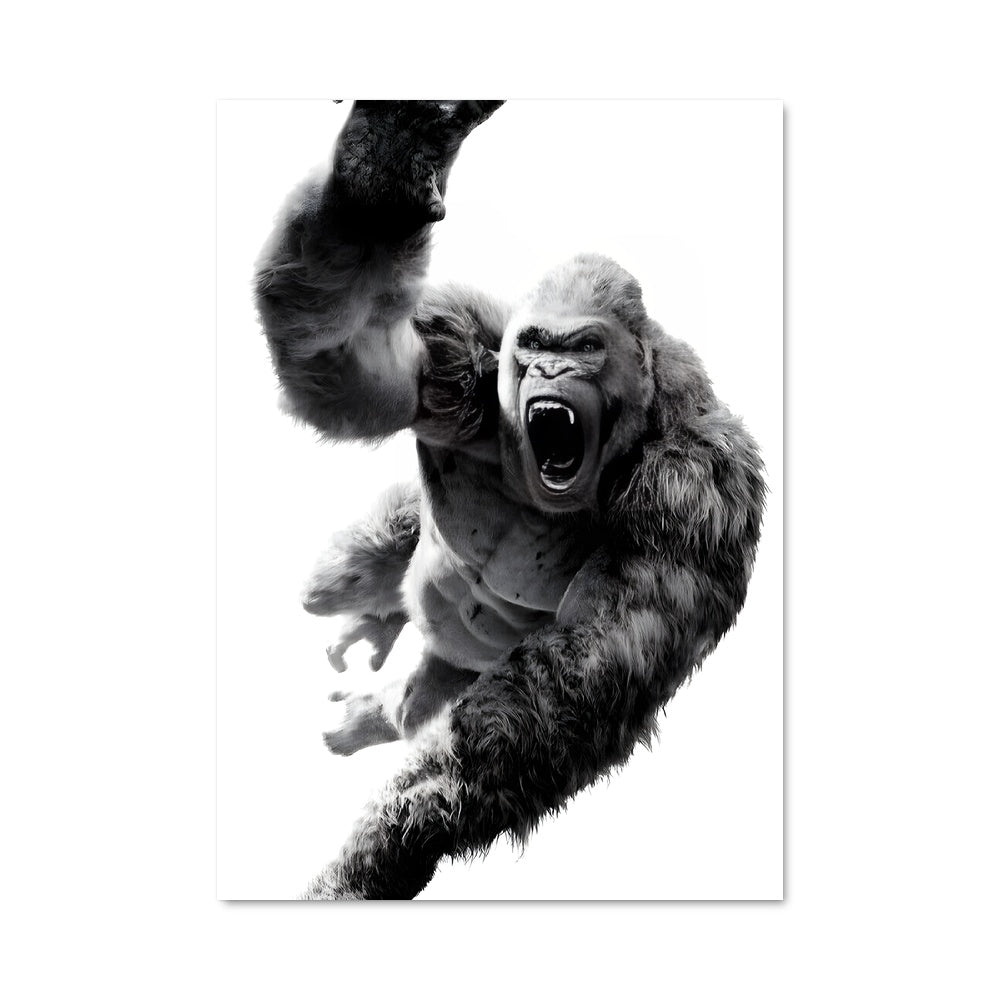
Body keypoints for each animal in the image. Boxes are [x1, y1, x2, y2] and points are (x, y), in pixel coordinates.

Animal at [253, 100, 765, 899]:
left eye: (583, 347)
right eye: (535, 343)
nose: (550, 370)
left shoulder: (694, 496)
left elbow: (561, 697)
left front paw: (386, 848)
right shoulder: (455, 357)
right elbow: (341, 359)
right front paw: (382, 167)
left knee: (431, 698)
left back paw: (375, 704)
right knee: (343, 578)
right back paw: (373, 611)